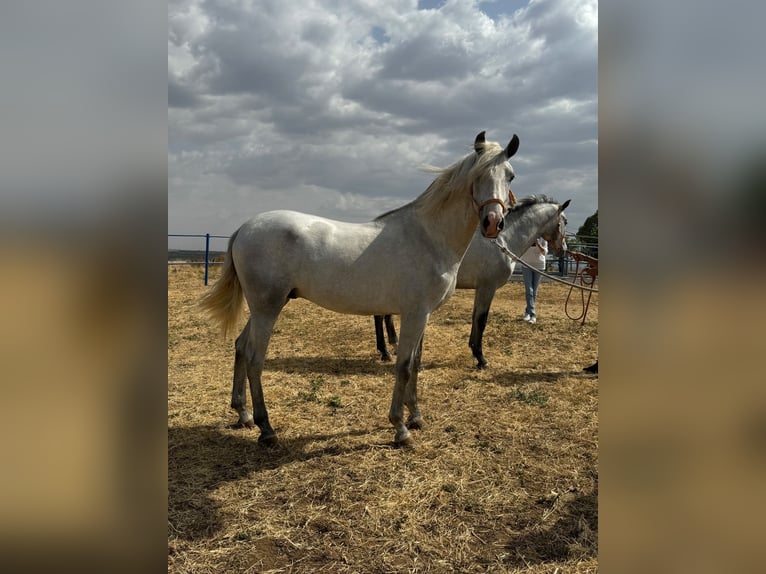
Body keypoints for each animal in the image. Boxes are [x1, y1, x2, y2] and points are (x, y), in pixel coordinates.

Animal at [200, 133, 520, 448]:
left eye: (510, 176)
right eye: (478, 175)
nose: (493, 223)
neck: (428, 237)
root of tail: (245, 228)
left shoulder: (424, 315)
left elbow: (416, 363)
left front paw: (416, 417)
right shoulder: (415, 314)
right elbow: (404, 366)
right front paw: (400, 428)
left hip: (262, 308)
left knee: (241, 347)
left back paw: (243, 414)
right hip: (267, 308)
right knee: (255, 359)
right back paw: (266, 429)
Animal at [376, 196, 568, 372]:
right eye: (564, 222)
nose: (563, 250)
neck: (504, 240)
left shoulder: (480, 289)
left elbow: (475, 318)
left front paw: (474, 350)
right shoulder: (487, 288)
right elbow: (481, 320)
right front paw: (481, 358)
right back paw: (385, 351)